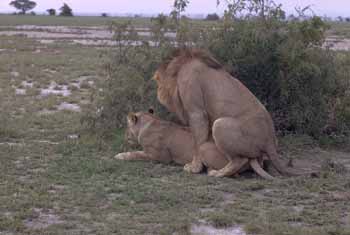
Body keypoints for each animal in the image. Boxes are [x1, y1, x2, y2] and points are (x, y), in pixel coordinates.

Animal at [114, 110, 274, 180]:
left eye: (127, 127)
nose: (124, 136)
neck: (150, 121)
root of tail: (254, 154)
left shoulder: (159, 156)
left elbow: (137, 154)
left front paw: (120, 155)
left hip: (205, 146)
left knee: (235, 169)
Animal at [154, 48, 294, 176]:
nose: (158, 91)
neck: (180, 67)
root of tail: (270, 141)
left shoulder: (197, 112)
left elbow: (197, 143)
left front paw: (194, 168)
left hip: (220, 124)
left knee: (240, 160)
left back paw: (216, 173)